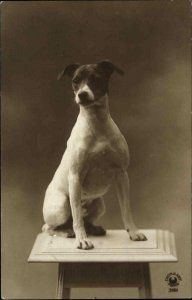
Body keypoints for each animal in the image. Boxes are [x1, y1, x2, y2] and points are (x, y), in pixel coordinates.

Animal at [42, 59, 147, 250]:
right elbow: (77, 217)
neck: (97, 124)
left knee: (84, 220)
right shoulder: (75, 177)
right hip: (61, 206)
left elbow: (126, 209)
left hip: (99, 204)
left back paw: (93, 228)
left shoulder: (122, 175)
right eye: (75, 81)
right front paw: (82, 240)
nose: (82, 95)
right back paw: (67, 232)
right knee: (52, 226)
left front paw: (133, 232)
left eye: (96, 79)